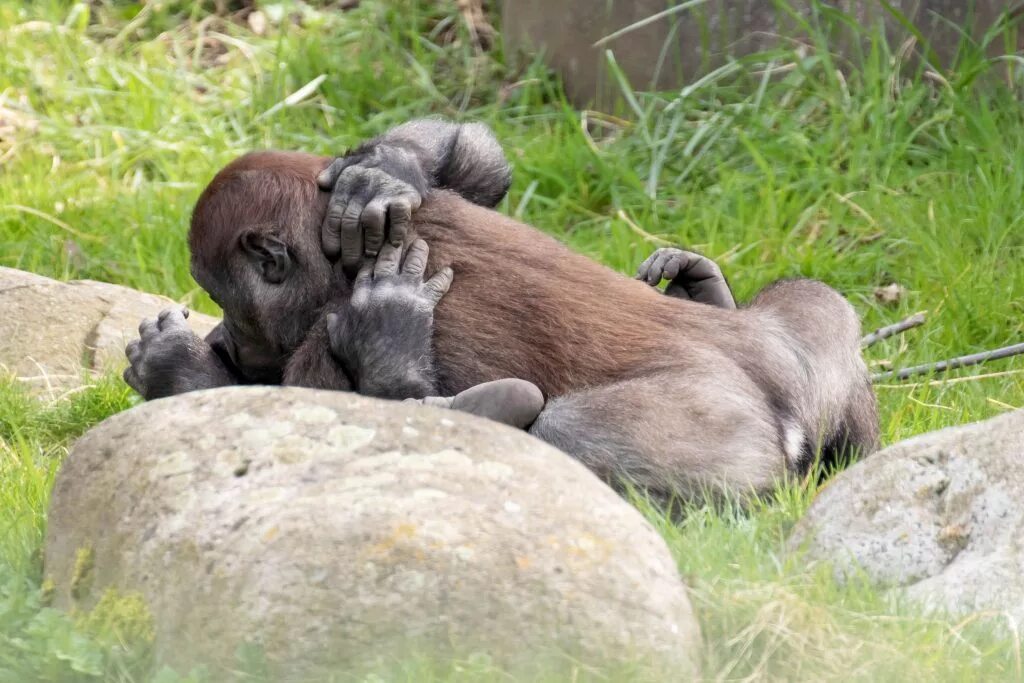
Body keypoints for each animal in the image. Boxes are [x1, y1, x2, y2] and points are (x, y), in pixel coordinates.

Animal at [125, 120, 880, 499]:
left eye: (223, 297)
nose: (225, 338)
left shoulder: (317, 344)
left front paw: (177, 368)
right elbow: (474, 162)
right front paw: (388, 169)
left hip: (719, 425)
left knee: (566, 434)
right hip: (808, 340)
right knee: (814, 302)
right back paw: (708, 290)